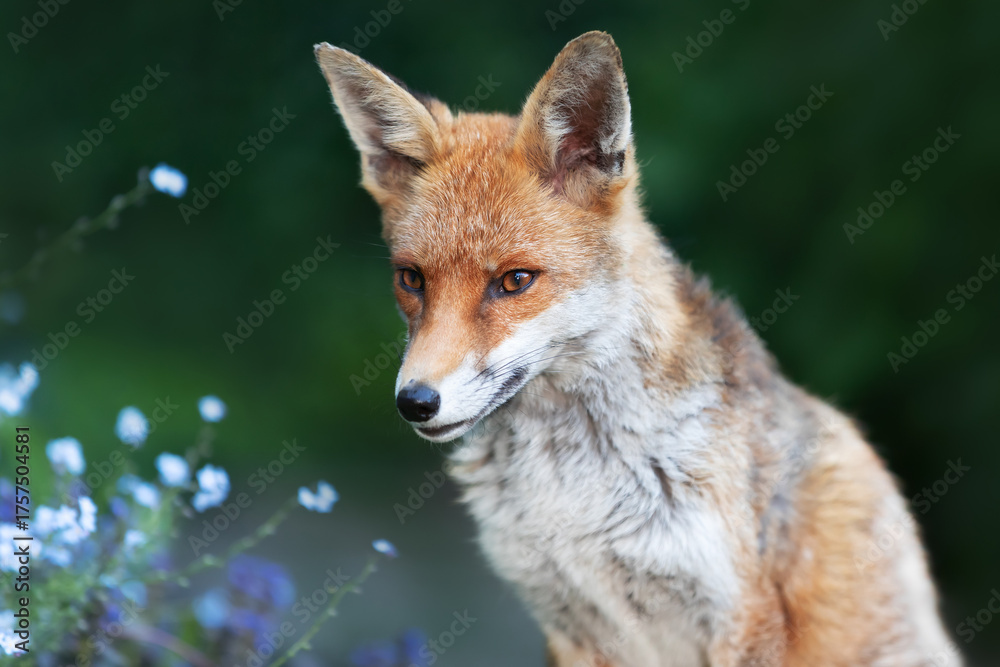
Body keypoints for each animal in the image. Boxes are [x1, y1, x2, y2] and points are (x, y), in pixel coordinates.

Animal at [315, 31, 961, 667]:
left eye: (515, 281)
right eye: (412, 280)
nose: (415, 402)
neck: (575, 485)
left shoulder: (739, 616)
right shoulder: (568, 623)